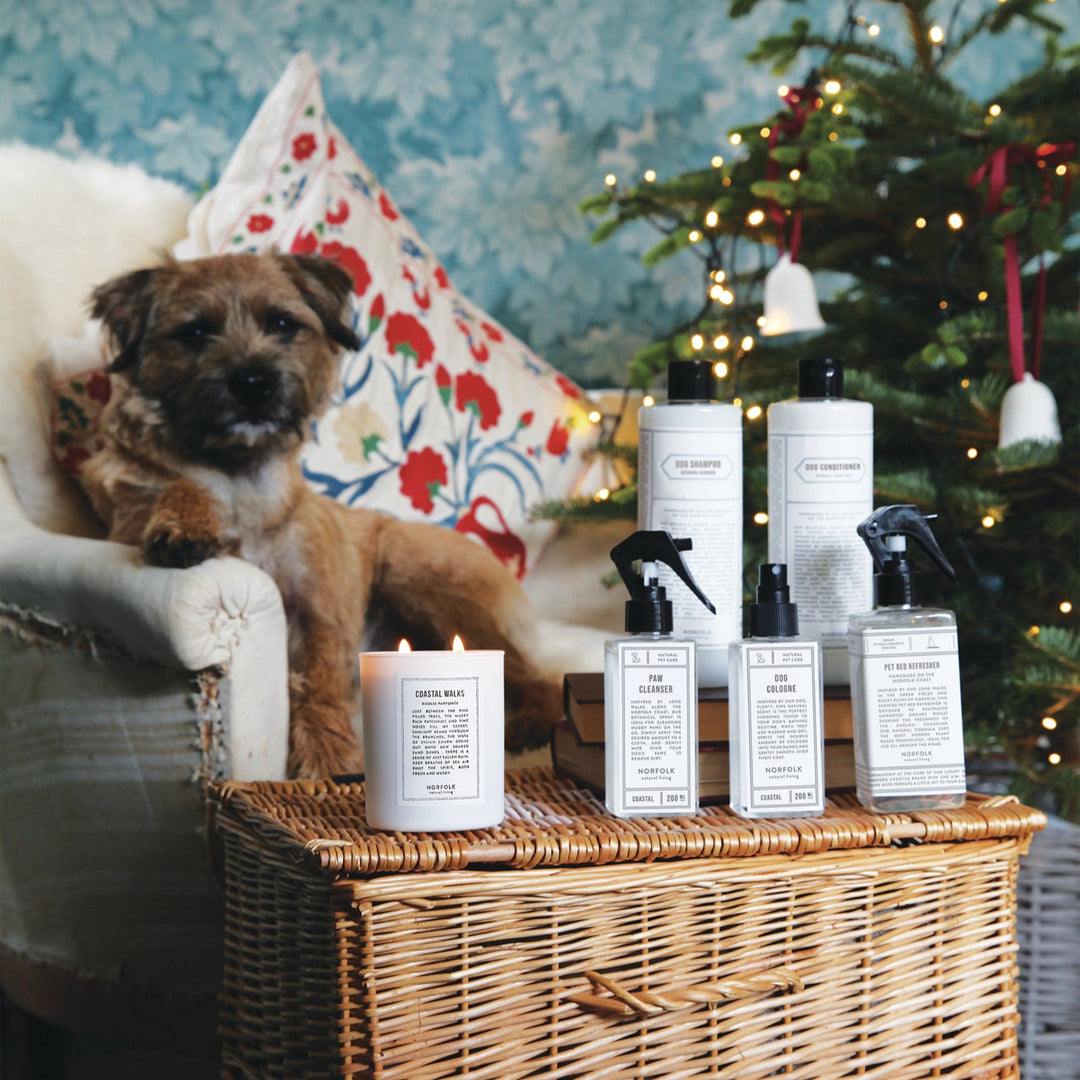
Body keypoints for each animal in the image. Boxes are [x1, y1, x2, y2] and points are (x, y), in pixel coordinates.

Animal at [81, 251, 561, 779]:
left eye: (282, 324)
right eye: (195, 332)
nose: (254, 381)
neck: (239, 476)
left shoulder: (318, 609)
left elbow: (318, 686)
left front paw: (329, 758)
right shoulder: (122, 529)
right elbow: (174, 489)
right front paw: (186, 523)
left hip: (419, 573)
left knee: (536, 674)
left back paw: (534, 722)